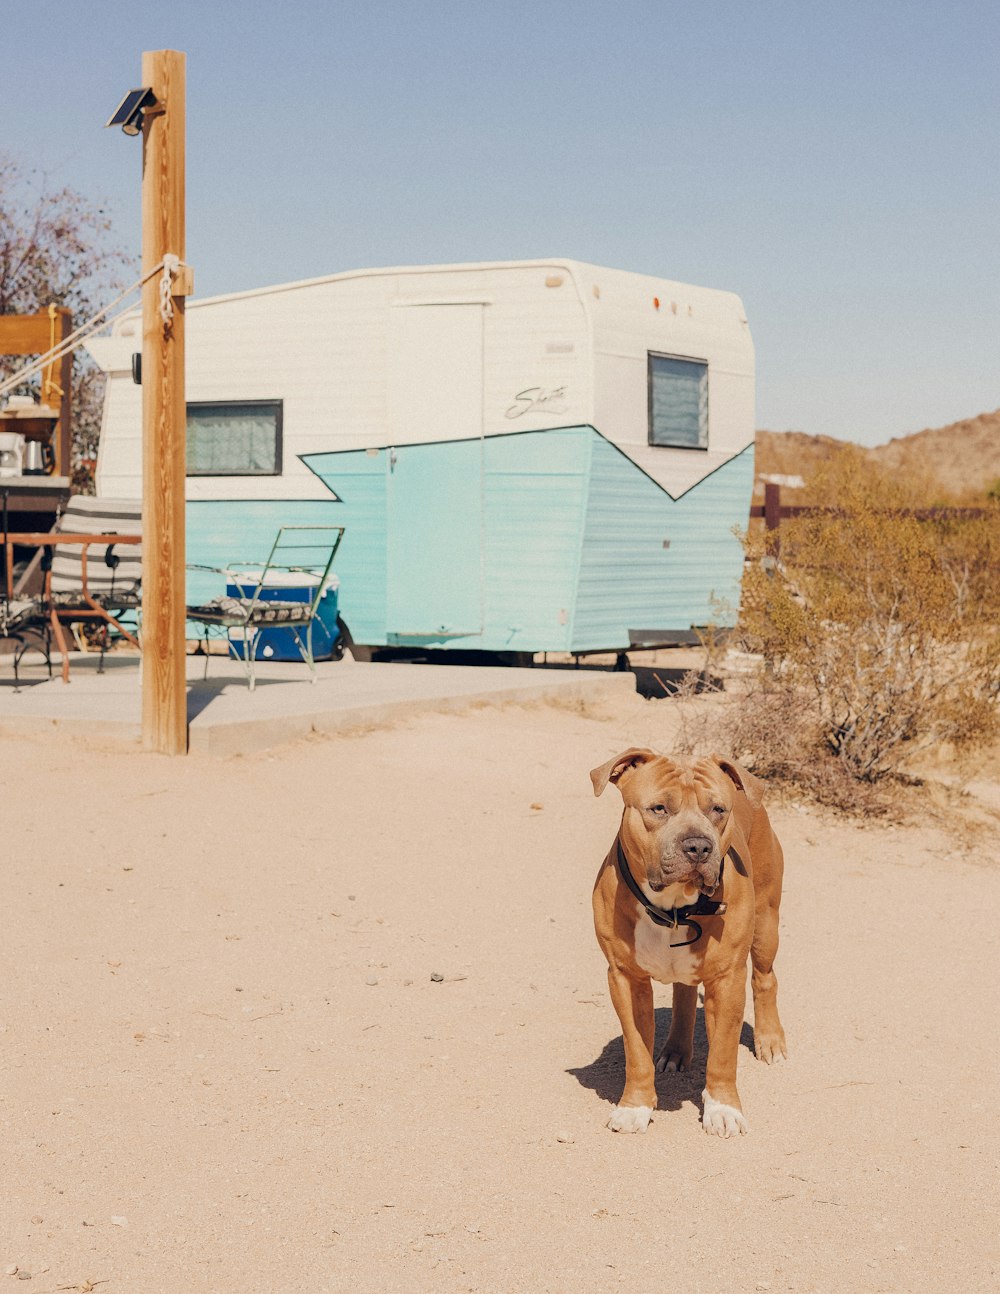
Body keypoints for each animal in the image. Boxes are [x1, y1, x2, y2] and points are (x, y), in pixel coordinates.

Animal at [589, 750, 786, 1133]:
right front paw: (635, 1107)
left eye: (718, 809)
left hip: (766, 923)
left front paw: (724, 1109)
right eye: (658, 809)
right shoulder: (625, 978)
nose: (698, 846)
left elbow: (723, 1053)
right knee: (683, 992)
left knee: (766, 979)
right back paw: (677, 1050)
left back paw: (770, 1040)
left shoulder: (727, 980)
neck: (674, 907)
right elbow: (637, 1051)